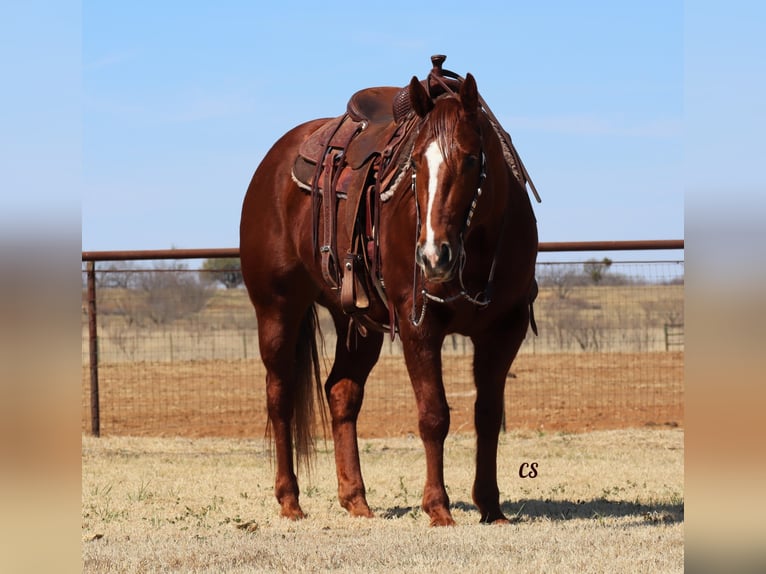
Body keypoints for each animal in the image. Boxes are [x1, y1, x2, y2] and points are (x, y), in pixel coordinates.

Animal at [240, 62, 540, 528]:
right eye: (414, 162)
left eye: (472, 158)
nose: (433, 255)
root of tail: (271, 163)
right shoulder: (420, 326)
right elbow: (434, 415)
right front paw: (438, 508)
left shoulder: (505, 329)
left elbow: (488, 415)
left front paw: (491, 507)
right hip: (276, 309)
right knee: (280, 396)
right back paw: (290, 500)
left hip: (358, 323)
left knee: (341, 393)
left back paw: (356, 500)